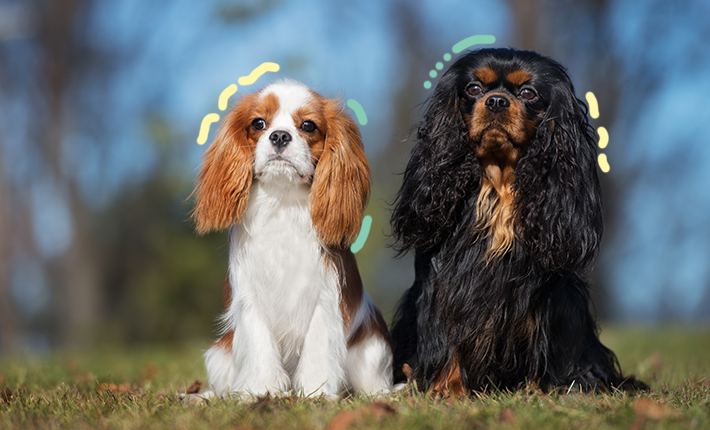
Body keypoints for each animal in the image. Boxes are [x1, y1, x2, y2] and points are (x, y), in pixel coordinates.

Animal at [192, 79, 392, 398]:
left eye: (308, 126)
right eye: (258, 123)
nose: (280, 136)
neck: (283, 201)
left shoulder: (324, 298)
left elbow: (317, 350)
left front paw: (315, 394)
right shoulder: (251, 298)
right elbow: (260, 347)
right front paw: (261, 392)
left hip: (372, 349)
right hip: (219, 355)